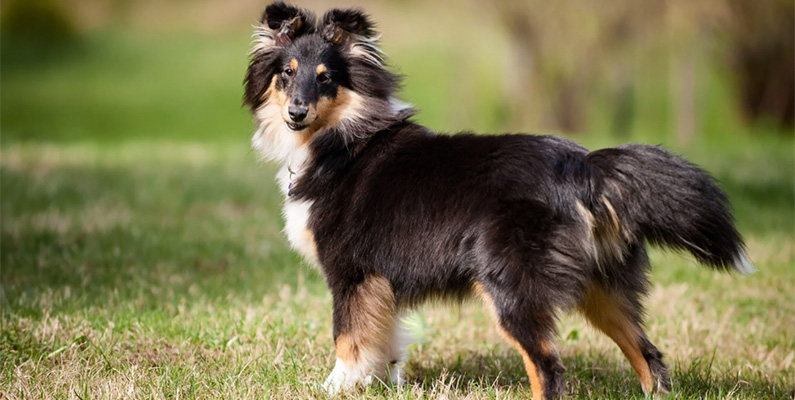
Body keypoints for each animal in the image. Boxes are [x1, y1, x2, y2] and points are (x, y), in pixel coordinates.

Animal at [246, 2, 756, 396]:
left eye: (325, 78)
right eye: (287, 73)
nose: (296, 113)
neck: (343, 138)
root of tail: (583, 167)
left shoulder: (351, 273)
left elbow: (348, 339)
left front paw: (335, 387)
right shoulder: (381, 284)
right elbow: (384, 344)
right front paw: (382, 385)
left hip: (511, 287)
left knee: (548, 367)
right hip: (601, 286)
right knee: (648, 354)